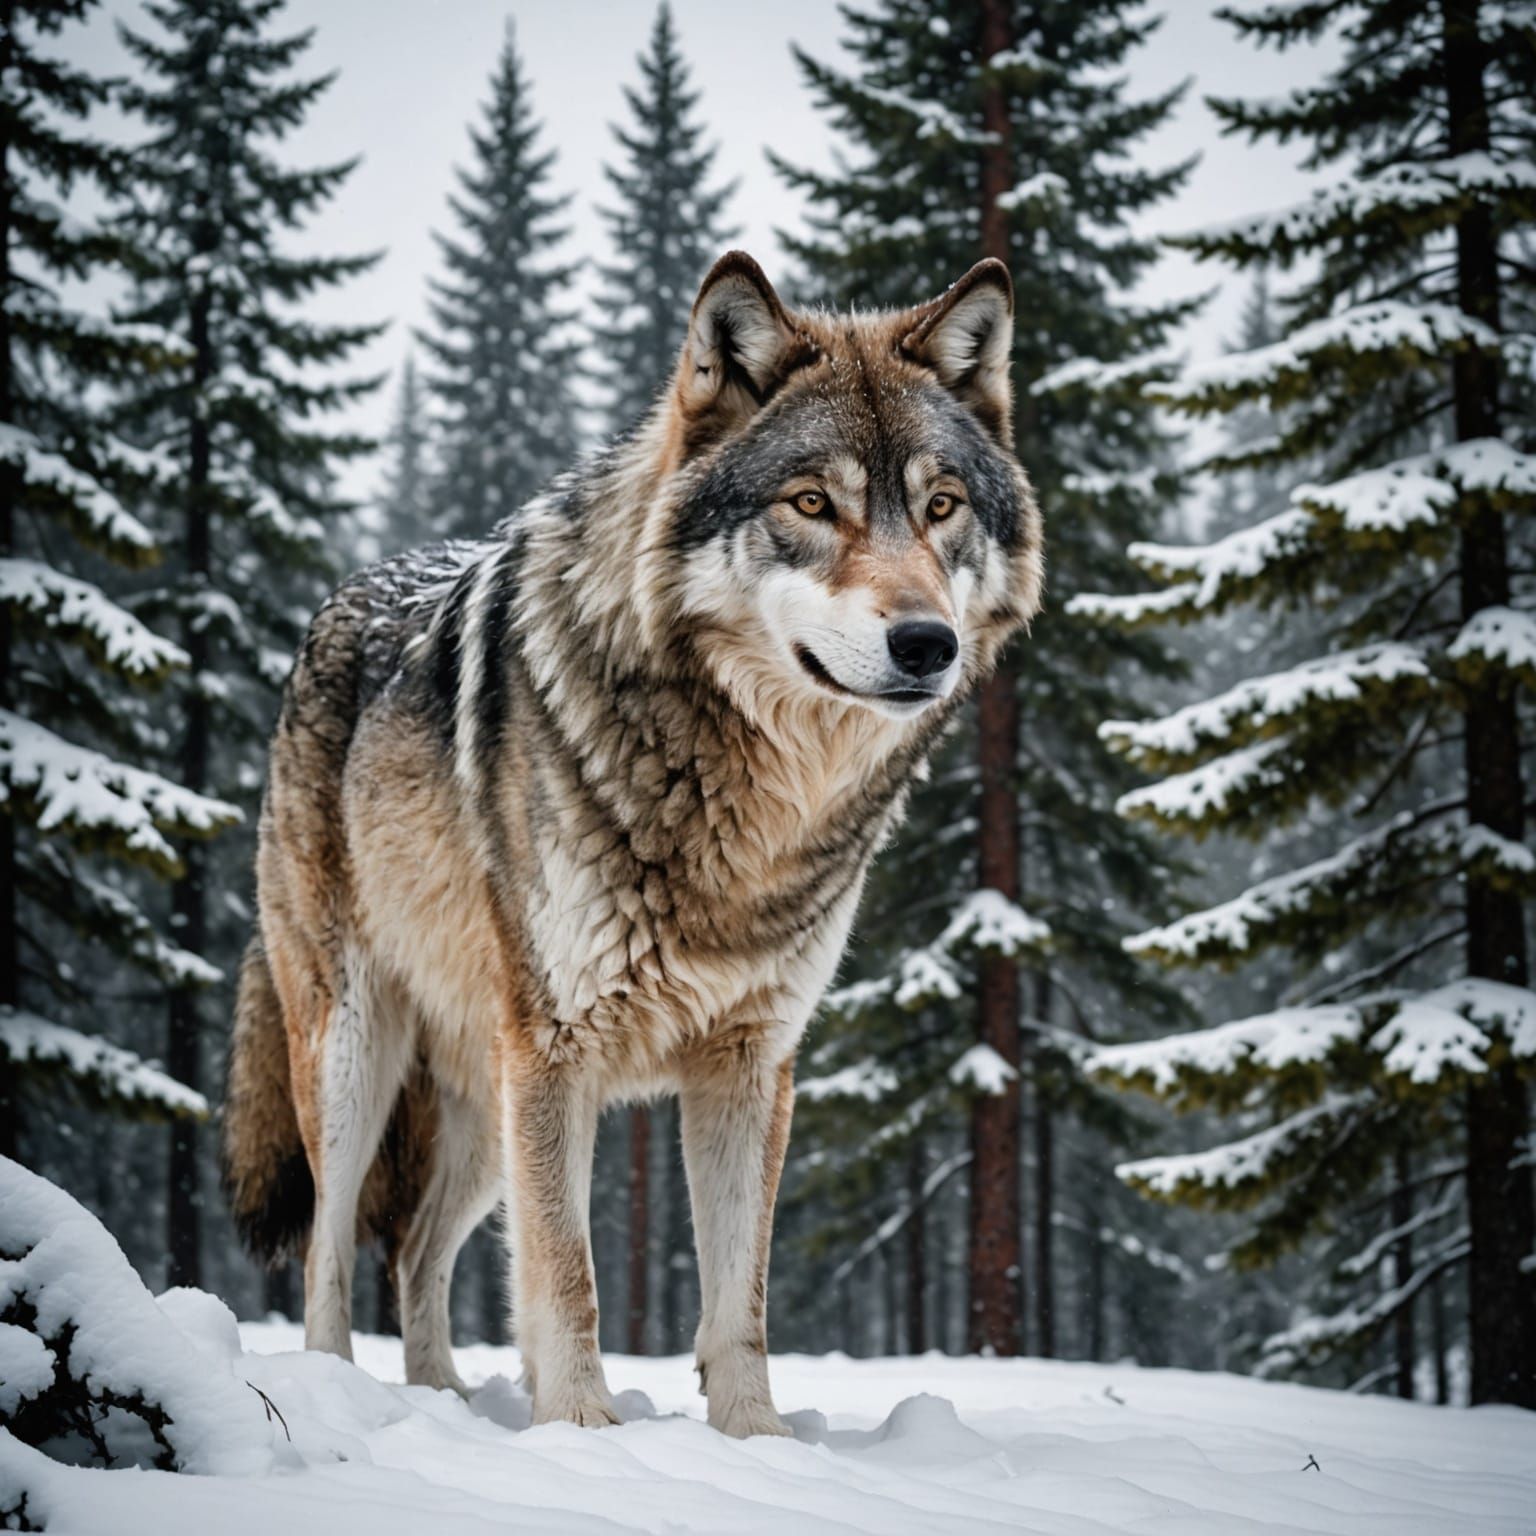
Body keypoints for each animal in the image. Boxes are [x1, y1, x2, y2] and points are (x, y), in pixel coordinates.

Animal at [221, 252, 1042, 1436]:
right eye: (811, 503)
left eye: (942, 507)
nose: (926, 644)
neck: (745, 805)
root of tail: (332, 607)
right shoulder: (557, 1051)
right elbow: (568, 1276)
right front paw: (579, 1435)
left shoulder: (750, 1063)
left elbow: (739, 1298)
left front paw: (756, 1442)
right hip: (358, 1057)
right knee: (330, 1257)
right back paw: (346, 1398)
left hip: (481, 1106)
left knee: (416, 1248)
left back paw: (444, 1399)